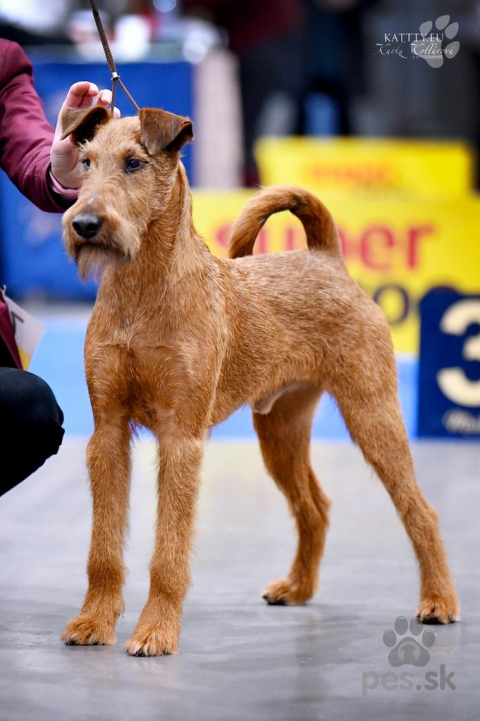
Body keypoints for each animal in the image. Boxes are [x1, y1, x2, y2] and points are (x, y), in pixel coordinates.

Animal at [59, 104, 458, 656]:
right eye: (85, 162)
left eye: (134, 163)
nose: (85, 223)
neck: (143, 293)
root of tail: (326, 258)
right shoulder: (109, 435)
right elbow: (103, 546)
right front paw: (93, 621)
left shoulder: (180, 438)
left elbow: (168, 551)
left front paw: (156, 632)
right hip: (280, 432)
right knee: (315, 507)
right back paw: (297, 588)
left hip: (373, 416)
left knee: (421, 511)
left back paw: (438, 600)